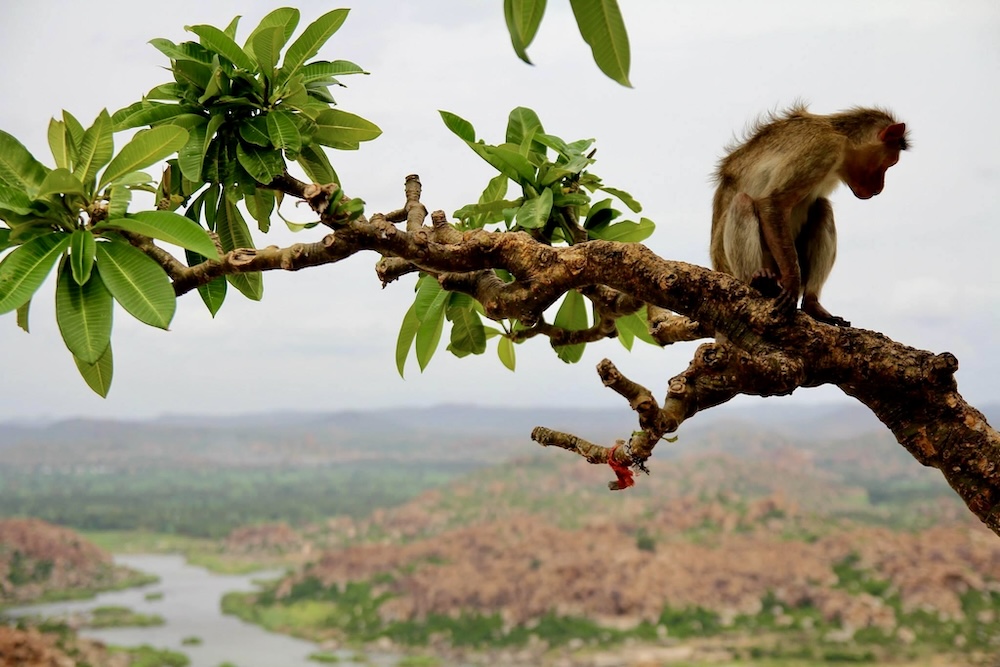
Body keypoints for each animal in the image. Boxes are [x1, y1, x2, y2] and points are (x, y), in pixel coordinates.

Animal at [712, 103, 908, 328]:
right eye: (890, 162)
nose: (879, 189)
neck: (843, 137)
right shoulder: (824, 148)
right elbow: (773, 202)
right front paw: (792, 282)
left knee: (822, 207)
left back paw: (811, 303)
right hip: (731, 266)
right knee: (742, 202)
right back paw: (760, 282)